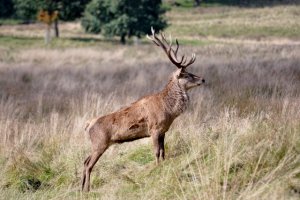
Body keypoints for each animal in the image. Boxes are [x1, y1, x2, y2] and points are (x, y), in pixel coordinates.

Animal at [81, 28, 205, 192]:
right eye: (187, 74)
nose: (203, 79)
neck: (169, 110)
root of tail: (88, 124)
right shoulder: (154, 129)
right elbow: (157, 152)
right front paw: (156, 171)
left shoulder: (163, 131)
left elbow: (163, 152)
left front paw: (162, 167)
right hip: (99, 143)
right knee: (89, 164)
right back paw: (87, 189)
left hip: (97, 145)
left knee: (84, 161)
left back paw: (80, 187)